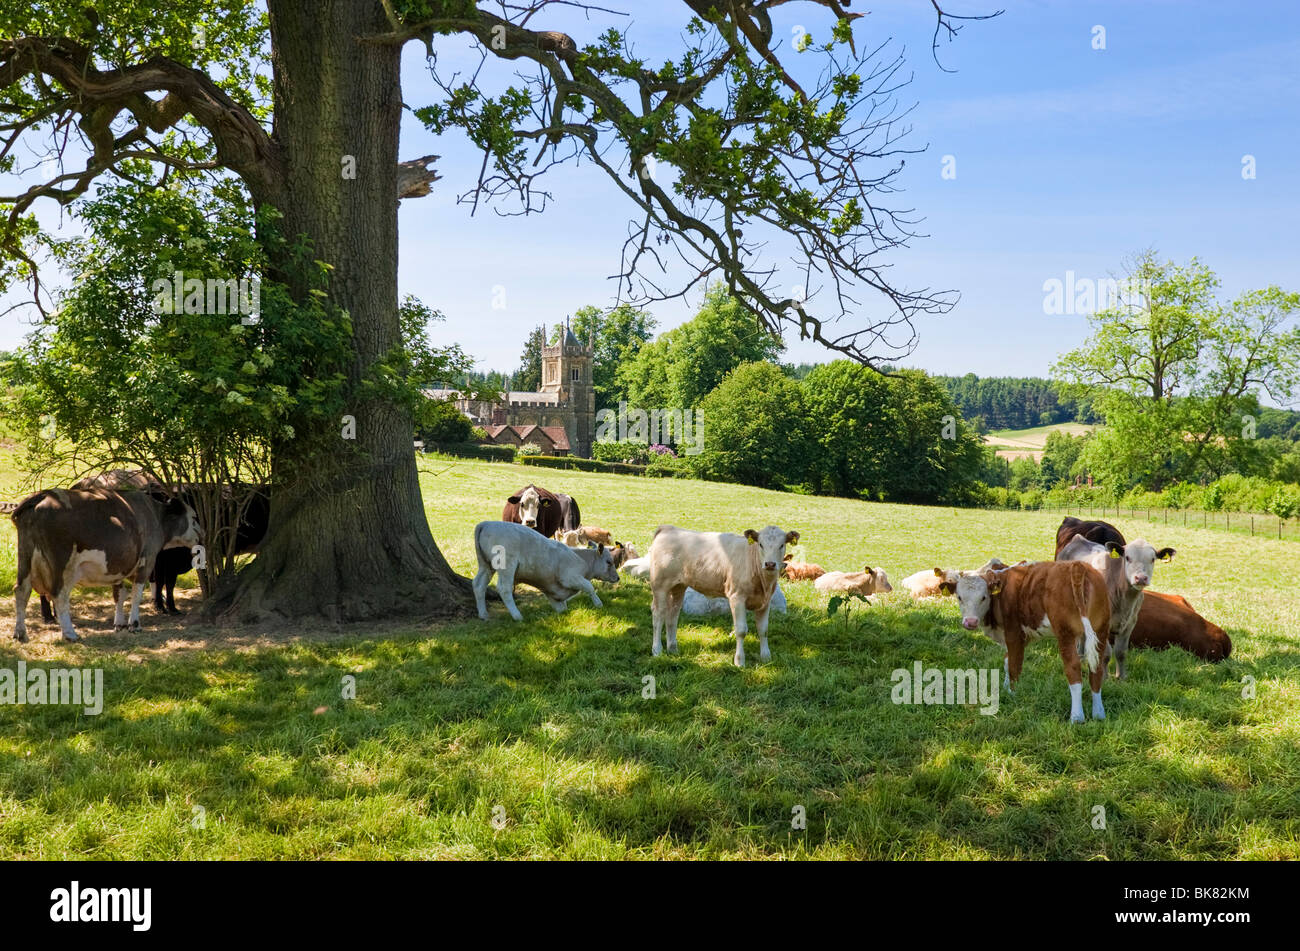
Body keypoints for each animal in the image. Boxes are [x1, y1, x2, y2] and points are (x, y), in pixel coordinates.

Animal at [11, 485, 200, 641]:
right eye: (194, 517)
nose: (202, 533)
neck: (154, 515)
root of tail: (42, 495)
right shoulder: (147, 561)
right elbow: (136, 595)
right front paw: (134, 624)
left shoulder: (118, 566)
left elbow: (119, 594)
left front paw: (119, 623)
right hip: (62, 565)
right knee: (59, 595)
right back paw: (70, 633)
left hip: (25, 557)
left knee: (22, 590)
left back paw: (20, 633)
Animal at [473, 519, 618, 623]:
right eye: (608, 562)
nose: (617, 578)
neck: (581, 558)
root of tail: (487, 523)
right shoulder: (570, 578)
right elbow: (589, 587)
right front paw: (599, 604)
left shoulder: (553, 592)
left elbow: (562, 607)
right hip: (507, 567)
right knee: (504, 588)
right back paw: (517, 616)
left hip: (486, 566)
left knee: (478, 585)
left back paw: (483, 614)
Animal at [644, 524, 795, 665]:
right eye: (761, 544)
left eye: (782, 545)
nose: (770, 564)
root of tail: (668, 528)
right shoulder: (736, 597)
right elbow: (741, 630)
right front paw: (739, 661)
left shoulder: (765, 601)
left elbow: (763, 629)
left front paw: (766, 657)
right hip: (659, 585)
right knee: (658, 614)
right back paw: (657, 650)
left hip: (678, 587)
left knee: (672, 615)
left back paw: (673, 649)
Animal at [941, 556, 1112, 722]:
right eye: (959, 597)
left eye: (983, 597)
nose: (970, 622)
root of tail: (1078, 566)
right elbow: (1007, 661)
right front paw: (1005, 688)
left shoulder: (1013, 633)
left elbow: (1014, 666)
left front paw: (1012, 693)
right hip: (1101, 629)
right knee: (1096, 670)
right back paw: (1099, 714)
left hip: (1066, 633)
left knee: (1073, 669)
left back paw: (1077, 717)